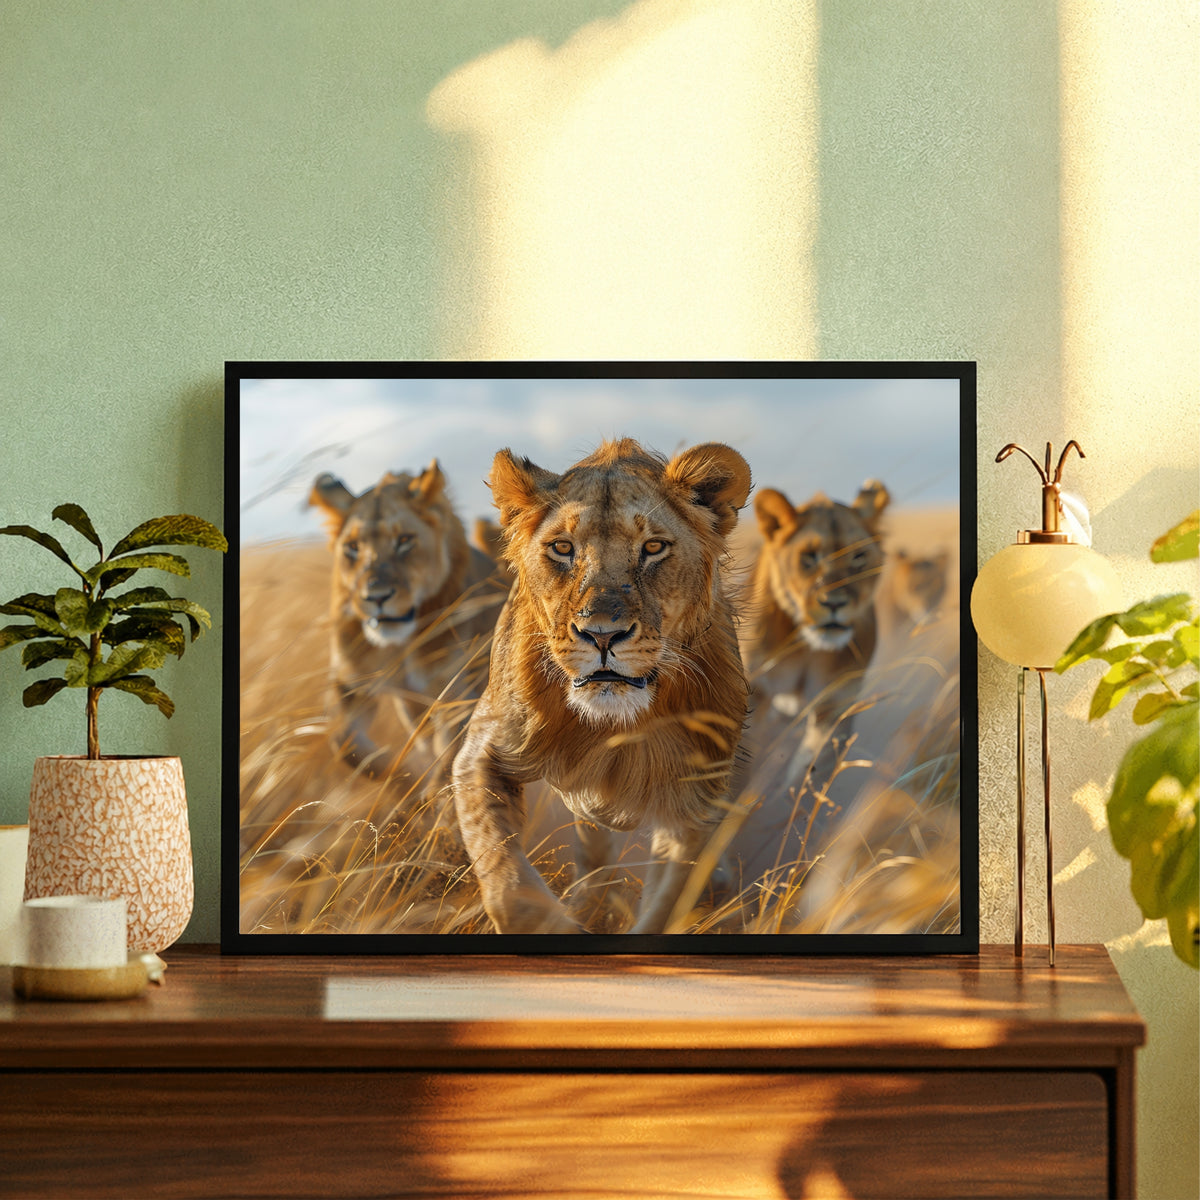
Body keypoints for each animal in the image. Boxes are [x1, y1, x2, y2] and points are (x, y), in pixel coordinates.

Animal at [309, 462, 507, 783]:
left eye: (404, 541)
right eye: (353, 547)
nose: (376, 596)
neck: (398, 646)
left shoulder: (457, 696)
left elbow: (448, 762)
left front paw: (429, 790)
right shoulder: (351, 684)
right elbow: (345, 743)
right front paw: (405, 781)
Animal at [451, 437, 752, 935]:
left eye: (653, 547)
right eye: (562, 547)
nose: (603, 635)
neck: (611, 726)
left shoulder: (693, 802)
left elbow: (667, 904)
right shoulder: (484, 750)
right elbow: (509, 886)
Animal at [739, 480, 890, 783]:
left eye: (859, 557)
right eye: (809, 557)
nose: (834, 603)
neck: (809, 647)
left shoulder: (835, 704)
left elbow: (809, 773)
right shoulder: (754, 692)